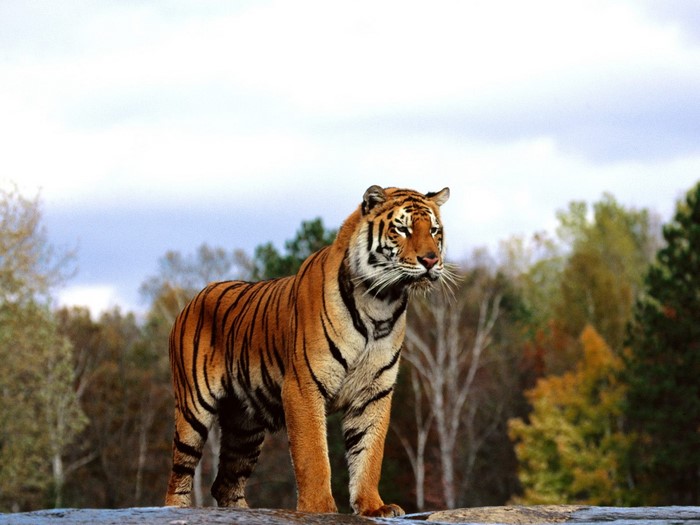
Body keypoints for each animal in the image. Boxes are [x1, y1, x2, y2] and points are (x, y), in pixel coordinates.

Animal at [164, 185, 450, 516]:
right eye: (402, 229)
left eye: (434, 230)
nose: (430, 260)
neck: (380, 303)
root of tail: (192, 298)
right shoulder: (303, 385)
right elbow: (313, 455)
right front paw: (320, 508)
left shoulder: (374, 392)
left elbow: (369, 452)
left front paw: (373, 506)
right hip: (193, 409)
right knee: (179, 475)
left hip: (244, 426)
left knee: (226, 482)